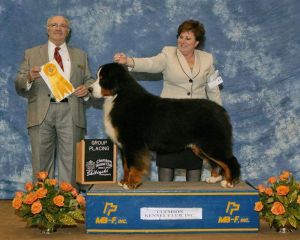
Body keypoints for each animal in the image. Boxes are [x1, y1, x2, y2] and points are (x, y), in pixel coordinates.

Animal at [90, 62, 240, 189]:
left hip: (212, 143)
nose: (89, 89)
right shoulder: (125, 146)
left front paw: (131, 183)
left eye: (102, 79)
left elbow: (134, 165)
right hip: (201, 147)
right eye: (97, 77)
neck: (119, 96)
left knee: (230, 160)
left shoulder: (133, 143)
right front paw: (124, 181)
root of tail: (221, 110)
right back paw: (214, 178)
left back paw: (230, 182)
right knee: (217, 162)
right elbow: (126, 165)